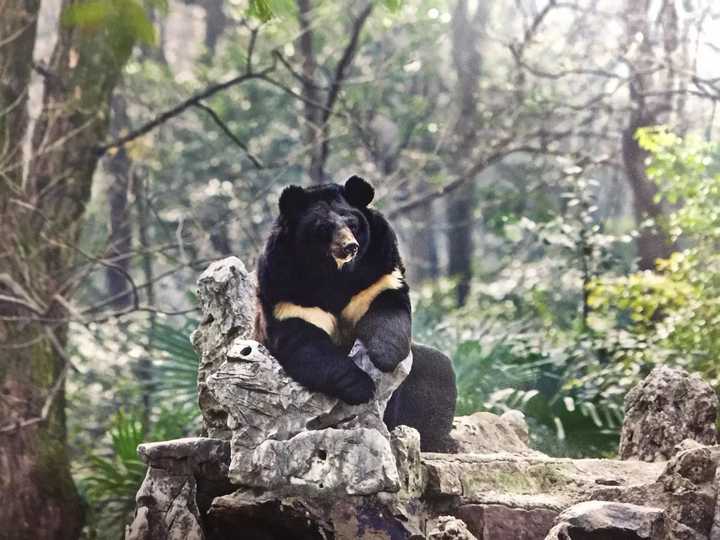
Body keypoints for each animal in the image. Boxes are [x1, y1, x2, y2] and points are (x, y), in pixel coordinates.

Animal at [258, 175, 456, 450]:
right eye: (323, 228)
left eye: (352, 223)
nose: (349, 247)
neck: (335, 273)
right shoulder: (286, 289)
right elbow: (305, 341)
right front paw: (361, 386)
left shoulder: (376, 272)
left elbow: (386, 309)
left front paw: (384, 357)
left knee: (438, 373)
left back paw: (439, 441)